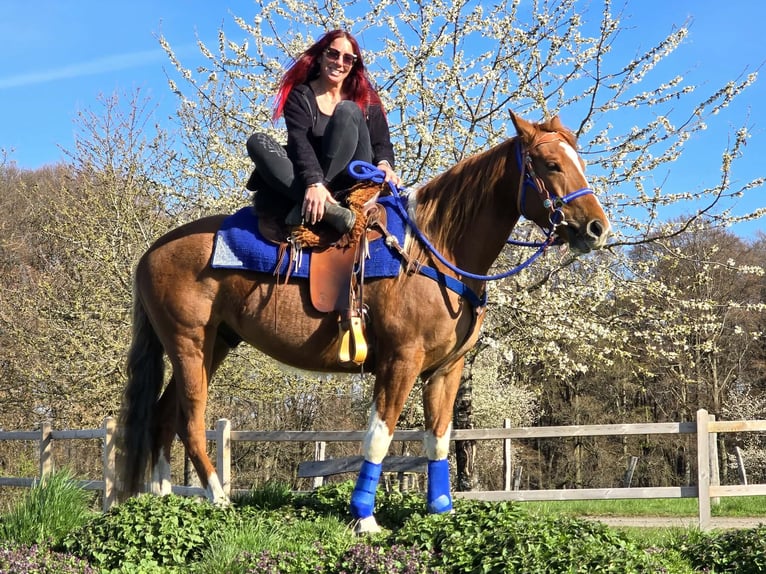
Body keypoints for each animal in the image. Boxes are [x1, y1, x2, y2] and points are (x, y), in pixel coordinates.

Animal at [117, 112, 610, 533]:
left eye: (580, 162)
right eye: (551, 164)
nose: (596, 229)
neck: (432, 250)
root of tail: (151, 251)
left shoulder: (445, 371)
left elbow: (437, 440)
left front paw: (440, 514)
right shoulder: (399, 363)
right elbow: (378, 436)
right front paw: (364, 518)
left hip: (214, 345)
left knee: (162, 417)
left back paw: (162, 501)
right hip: (189, 345)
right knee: (189, 421)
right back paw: (219, 500)